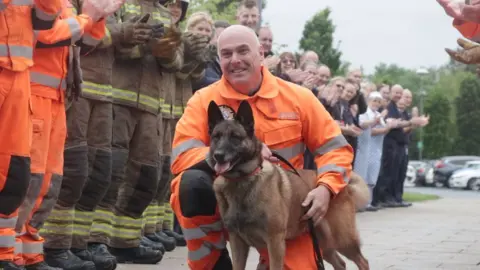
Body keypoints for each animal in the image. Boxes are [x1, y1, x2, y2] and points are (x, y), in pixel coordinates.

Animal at [207, 99, 372, 270]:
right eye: (216, 137)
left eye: (235, 137)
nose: (218, 155)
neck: (241, 180)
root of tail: (341, 186)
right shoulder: (237, 243)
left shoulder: (275, 242)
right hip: (323, 244)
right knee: (340, 263)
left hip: (342, 239)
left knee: (362, 261)